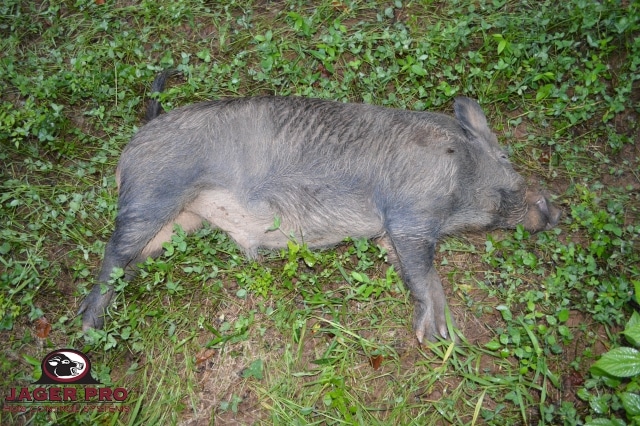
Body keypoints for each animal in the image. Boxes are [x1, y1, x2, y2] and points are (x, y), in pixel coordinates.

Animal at [78, 74, 561, 343]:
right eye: (505, 158)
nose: (553, 210)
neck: (460, 171)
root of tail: (142, 133)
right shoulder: (411, 211)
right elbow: (423, 270)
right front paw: (437, 336)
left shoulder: (392, 233)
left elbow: (413, 268)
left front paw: (443, 334)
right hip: (150, 193)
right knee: (112, 256)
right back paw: (88, 329)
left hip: (179, 222)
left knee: (130, 262)